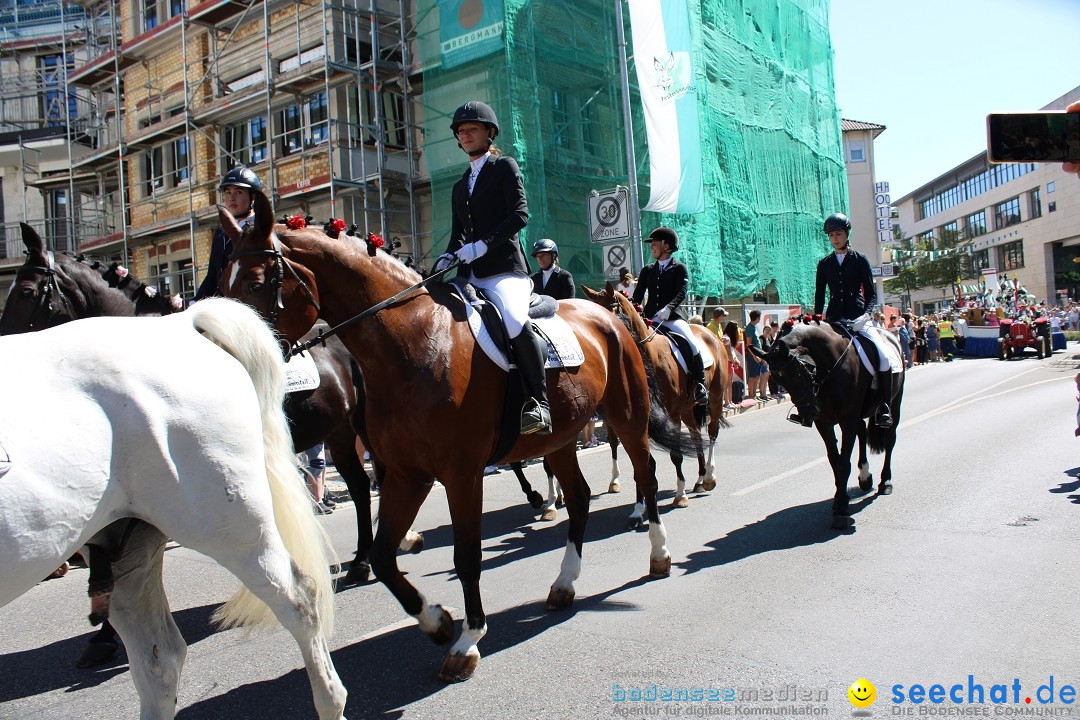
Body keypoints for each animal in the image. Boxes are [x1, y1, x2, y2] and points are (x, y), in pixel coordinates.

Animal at [0, 297, 345, 720]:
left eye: (29, 292)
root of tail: (178, 324)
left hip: (233, 526)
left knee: (301, 600)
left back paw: (330, 698)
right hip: (125, 546)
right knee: (159, 659)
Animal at [221, 189, 691, 682]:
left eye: (255, 283)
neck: (413, 341)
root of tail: (610, 315)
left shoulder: (461, 473)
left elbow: (467, 555)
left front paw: (467, 640)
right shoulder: (407, 475)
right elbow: (386, 558)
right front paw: (438, 621)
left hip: (627, 415)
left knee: (647, 474)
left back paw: (659, 554)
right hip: (560, 437)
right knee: (579, 498)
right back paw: (563, 583)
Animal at [747, 321, 898, 528]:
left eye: (798, 373)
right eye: (777, 379)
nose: (808, 412)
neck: (831, 367)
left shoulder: (847, 420)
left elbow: (843, 462)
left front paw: (841, 509)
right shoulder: (824, 422)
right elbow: (835, 461)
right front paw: (839, 500)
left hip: (894, 404)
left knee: (890, 439)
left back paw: (886, 481)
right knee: (862, 432)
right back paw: (865, 477)